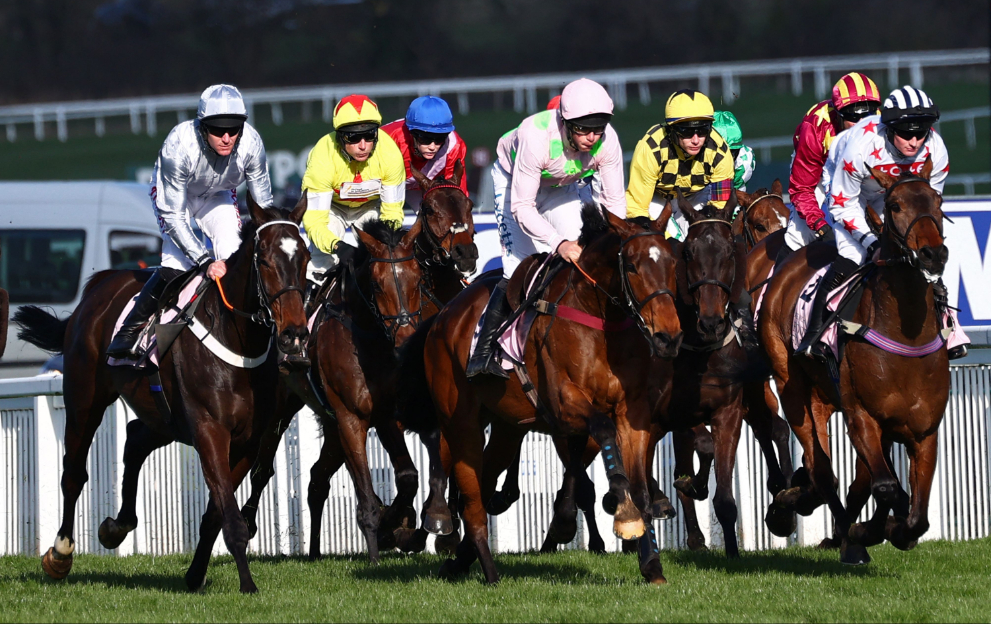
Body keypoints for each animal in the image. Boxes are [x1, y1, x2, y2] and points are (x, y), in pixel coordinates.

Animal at [14, 193, 310, 592]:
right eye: (263, 258)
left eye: (305, 257)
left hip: (165, 417)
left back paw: (116, 526)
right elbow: (230, 518)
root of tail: (98, 285)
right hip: (84, 400)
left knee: (134, 438)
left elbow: (216, 513)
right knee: (74, 472)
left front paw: (195, 574)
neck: (239, 342)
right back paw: (60, 554)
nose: (294, 334)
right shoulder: (209, 430)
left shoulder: (248, 439)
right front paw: (247, 585)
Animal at [400, 205, 684, 584]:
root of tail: (443, 316)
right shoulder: (564, 404)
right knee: (470, 498)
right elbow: (604, 432)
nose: (669, 337)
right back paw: (486, 569)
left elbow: (637, 484)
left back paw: (460, 560)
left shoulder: (632, 413)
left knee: (484, 483)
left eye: (672, 264)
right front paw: (624, 516)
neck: (600, 320)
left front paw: (651, 563)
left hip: (505, 427)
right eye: (634, 266)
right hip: (460, 422)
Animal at [764, 157, 948, 564]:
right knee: (822, 469)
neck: (905, 336)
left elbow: (916, 515)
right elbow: (887, 488)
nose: (934, 254)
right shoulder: (862, 416)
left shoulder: (924, 431)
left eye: (939, 201)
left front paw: (891, 529)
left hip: (824, 397)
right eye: (894, 206)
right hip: (791, 385)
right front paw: (865, 531)